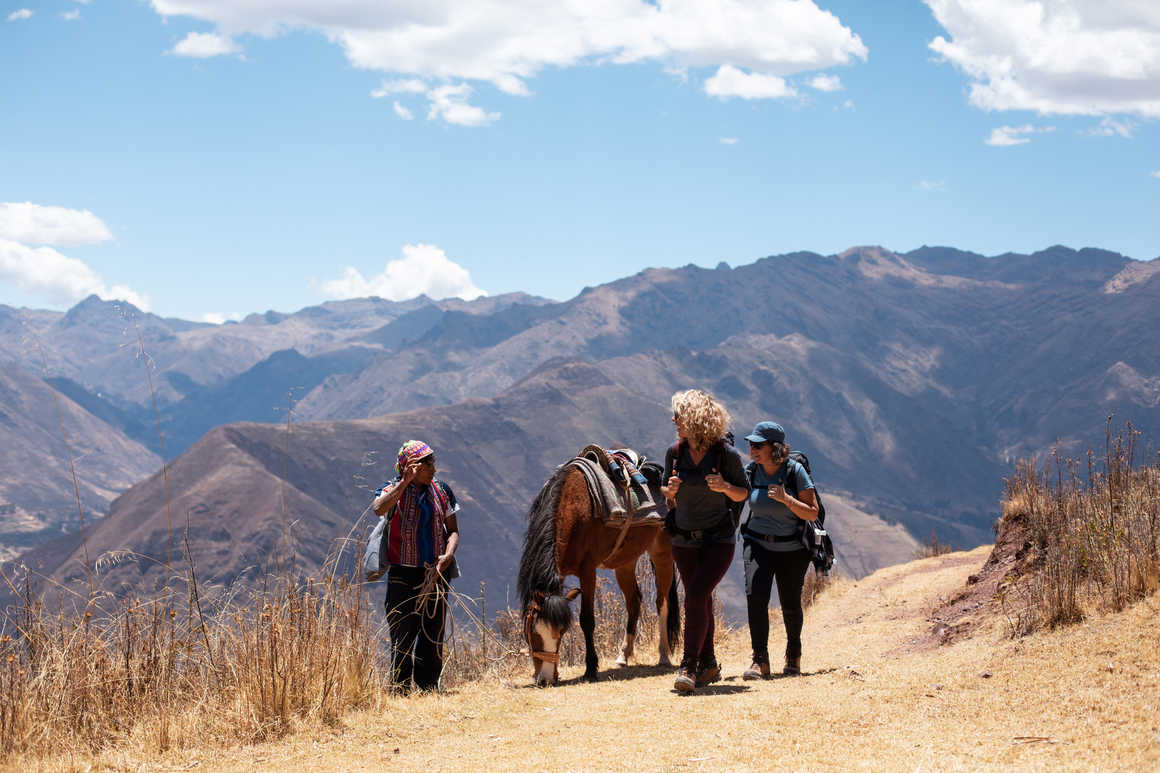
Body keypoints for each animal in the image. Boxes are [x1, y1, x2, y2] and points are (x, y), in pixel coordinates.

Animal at [517, 452, 677, 682]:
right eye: (532, 632)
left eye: (561, 632)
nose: (545, 679)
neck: (572, 509)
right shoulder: (559, 573)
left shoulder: (587, 570)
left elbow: (587, 620)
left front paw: (591, 669)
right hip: (625, 562)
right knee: (634, 601)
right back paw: (623, 656)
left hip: (662, 553)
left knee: (662, 603)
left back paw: (663, 655)